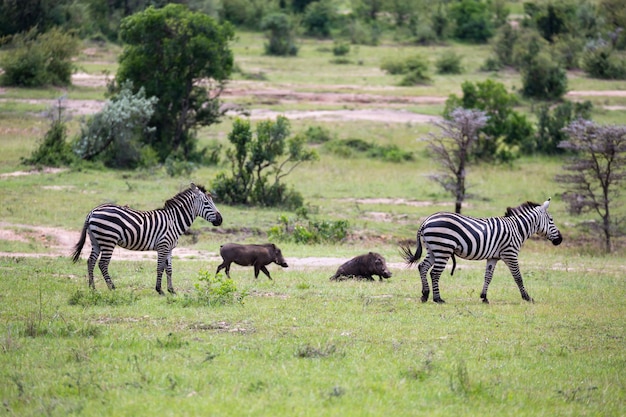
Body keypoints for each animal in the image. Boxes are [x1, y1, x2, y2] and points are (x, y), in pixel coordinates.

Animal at [71, 184, 222, 294]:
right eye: (207, 203)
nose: (220, 220)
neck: (174, 221)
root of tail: (92, 211)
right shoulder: (163, 246)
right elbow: (160, 268)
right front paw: (160, 290)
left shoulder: (170, 248)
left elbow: (169, 269)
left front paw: (171, 290)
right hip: (108, 239)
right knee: (102, 264)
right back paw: (112, 288)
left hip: (96, 240)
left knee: (90, 261)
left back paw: (92, 288)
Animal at [400, 198, 560, 302]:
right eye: (551, 220)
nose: (560, 240)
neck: (518, 229)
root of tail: (426, 220)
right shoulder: (510, 254)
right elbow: (518, 277)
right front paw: (527, 297)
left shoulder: (493, 257)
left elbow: (488, 277)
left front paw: (484, 297)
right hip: (443, 248)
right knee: (434, 273)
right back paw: (438, 298)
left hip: (433, 249)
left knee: (422, 267)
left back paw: (425, 295)